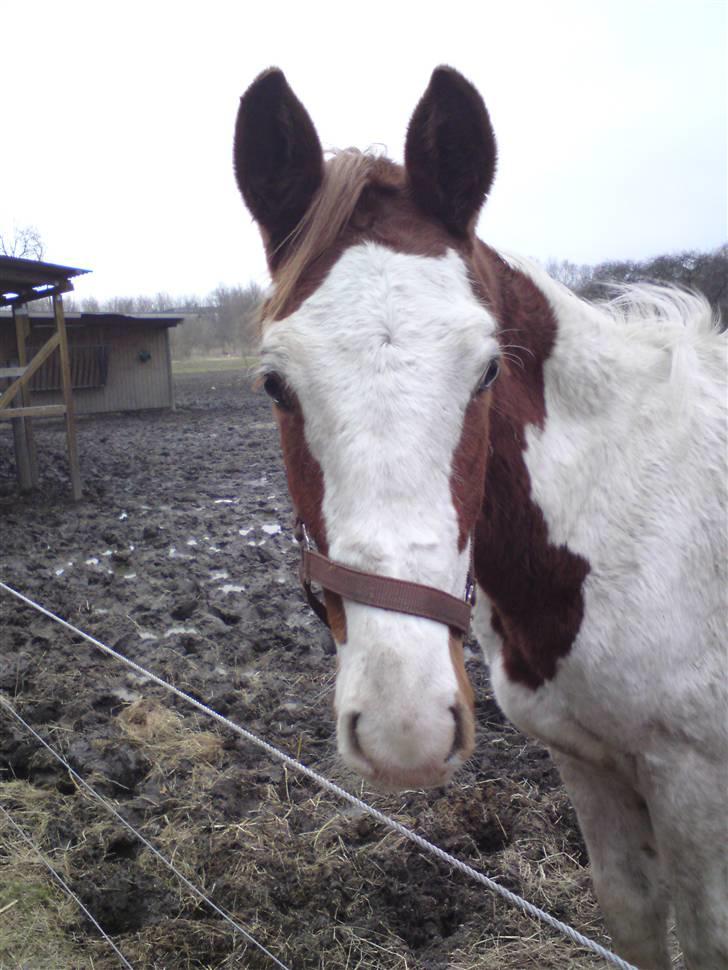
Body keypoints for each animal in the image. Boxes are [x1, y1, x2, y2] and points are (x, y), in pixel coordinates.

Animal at [233, 64, 728, 964]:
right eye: (274, 384)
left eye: (488, 369)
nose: (406, 726)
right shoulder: (589, 764)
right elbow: (634, 915)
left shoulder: (696, 783)